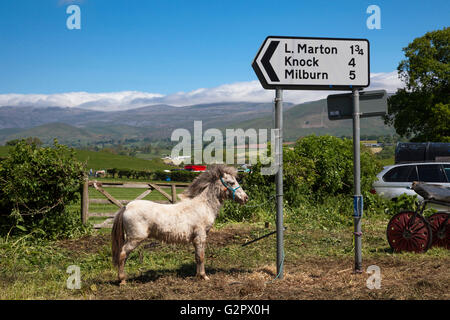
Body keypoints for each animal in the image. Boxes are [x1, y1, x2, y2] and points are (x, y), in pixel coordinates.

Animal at [111, 164, 248, 284]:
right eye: (231, 182)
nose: (246, 198)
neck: (203, 206)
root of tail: (126, 207)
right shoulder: (200, 236)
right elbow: (201, 256)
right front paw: (204, 276)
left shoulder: (196, 238)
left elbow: (197, 257)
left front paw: (198, 275)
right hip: (135, 239)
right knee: (122, 254)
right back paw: (122, 280)